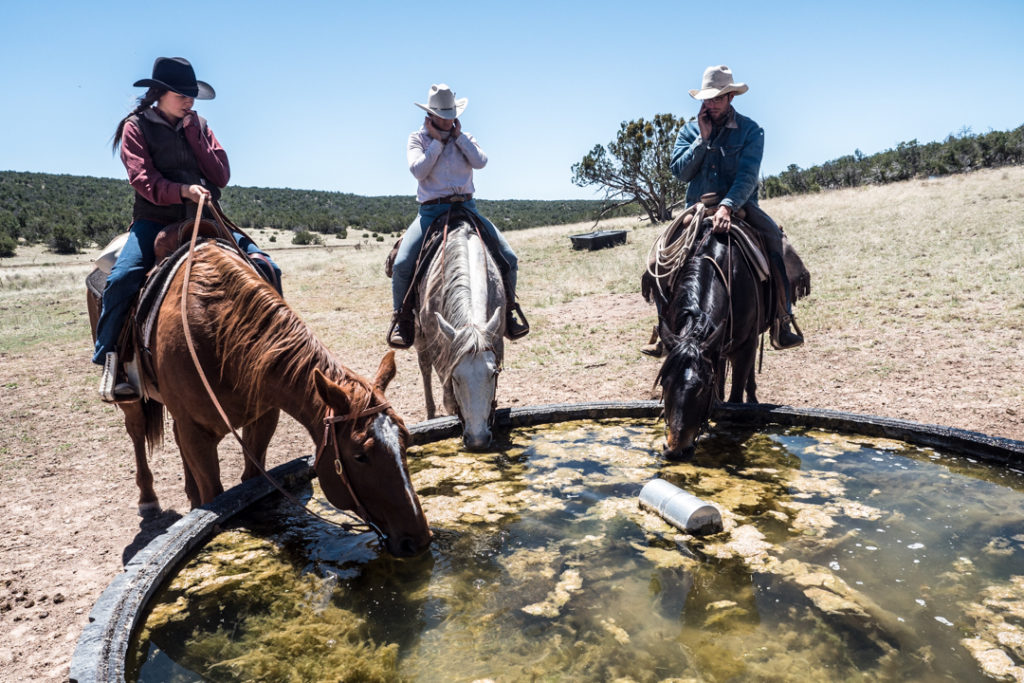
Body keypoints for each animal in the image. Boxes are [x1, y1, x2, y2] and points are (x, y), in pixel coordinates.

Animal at [87, 242, 432, 557]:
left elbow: (250, 481)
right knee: (136, 434)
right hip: (131, 398)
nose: (417, 540)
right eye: (360, 456)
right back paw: (148, 499)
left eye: (405, 439)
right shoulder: (196, 431)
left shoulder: (263, 418)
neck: (219, 335)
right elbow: (215, 493)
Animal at [413, 219, 505, 450]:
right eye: (455, 378)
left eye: (494, 373)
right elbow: (447, 395)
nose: (478, 440)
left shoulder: (497, 340)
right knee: (424, 368)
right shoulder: (439, 350)